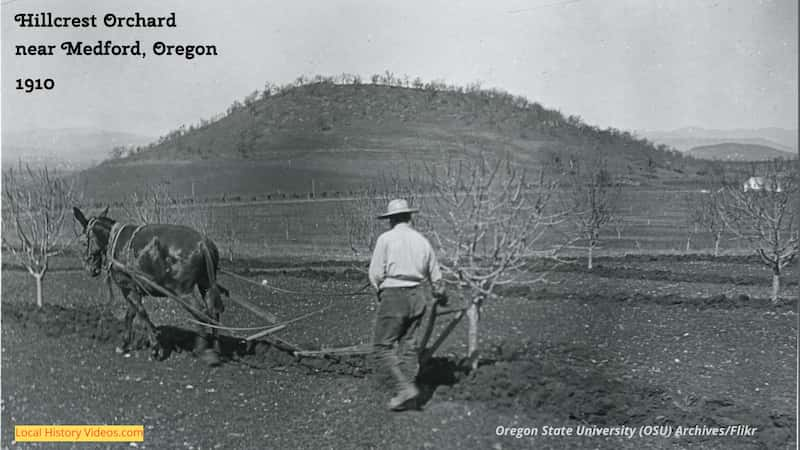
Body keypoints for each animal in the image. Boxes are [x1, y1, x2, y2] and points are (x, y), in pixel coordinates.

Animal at [74, 207, 228, 366]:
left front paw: (154, 347)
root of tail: (202, 243)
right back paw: (216, 349)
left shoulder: (127, 287)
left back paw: (202, 350)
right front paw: (125, 344)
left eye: (83, 242)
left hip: (183, 291)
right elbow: (131, 314)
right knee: (213, 311)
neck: (114, 240)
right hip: (206, 283)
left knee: (199, 311)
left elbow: (141, 313)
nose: (91, 269)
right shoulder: (134, 287)